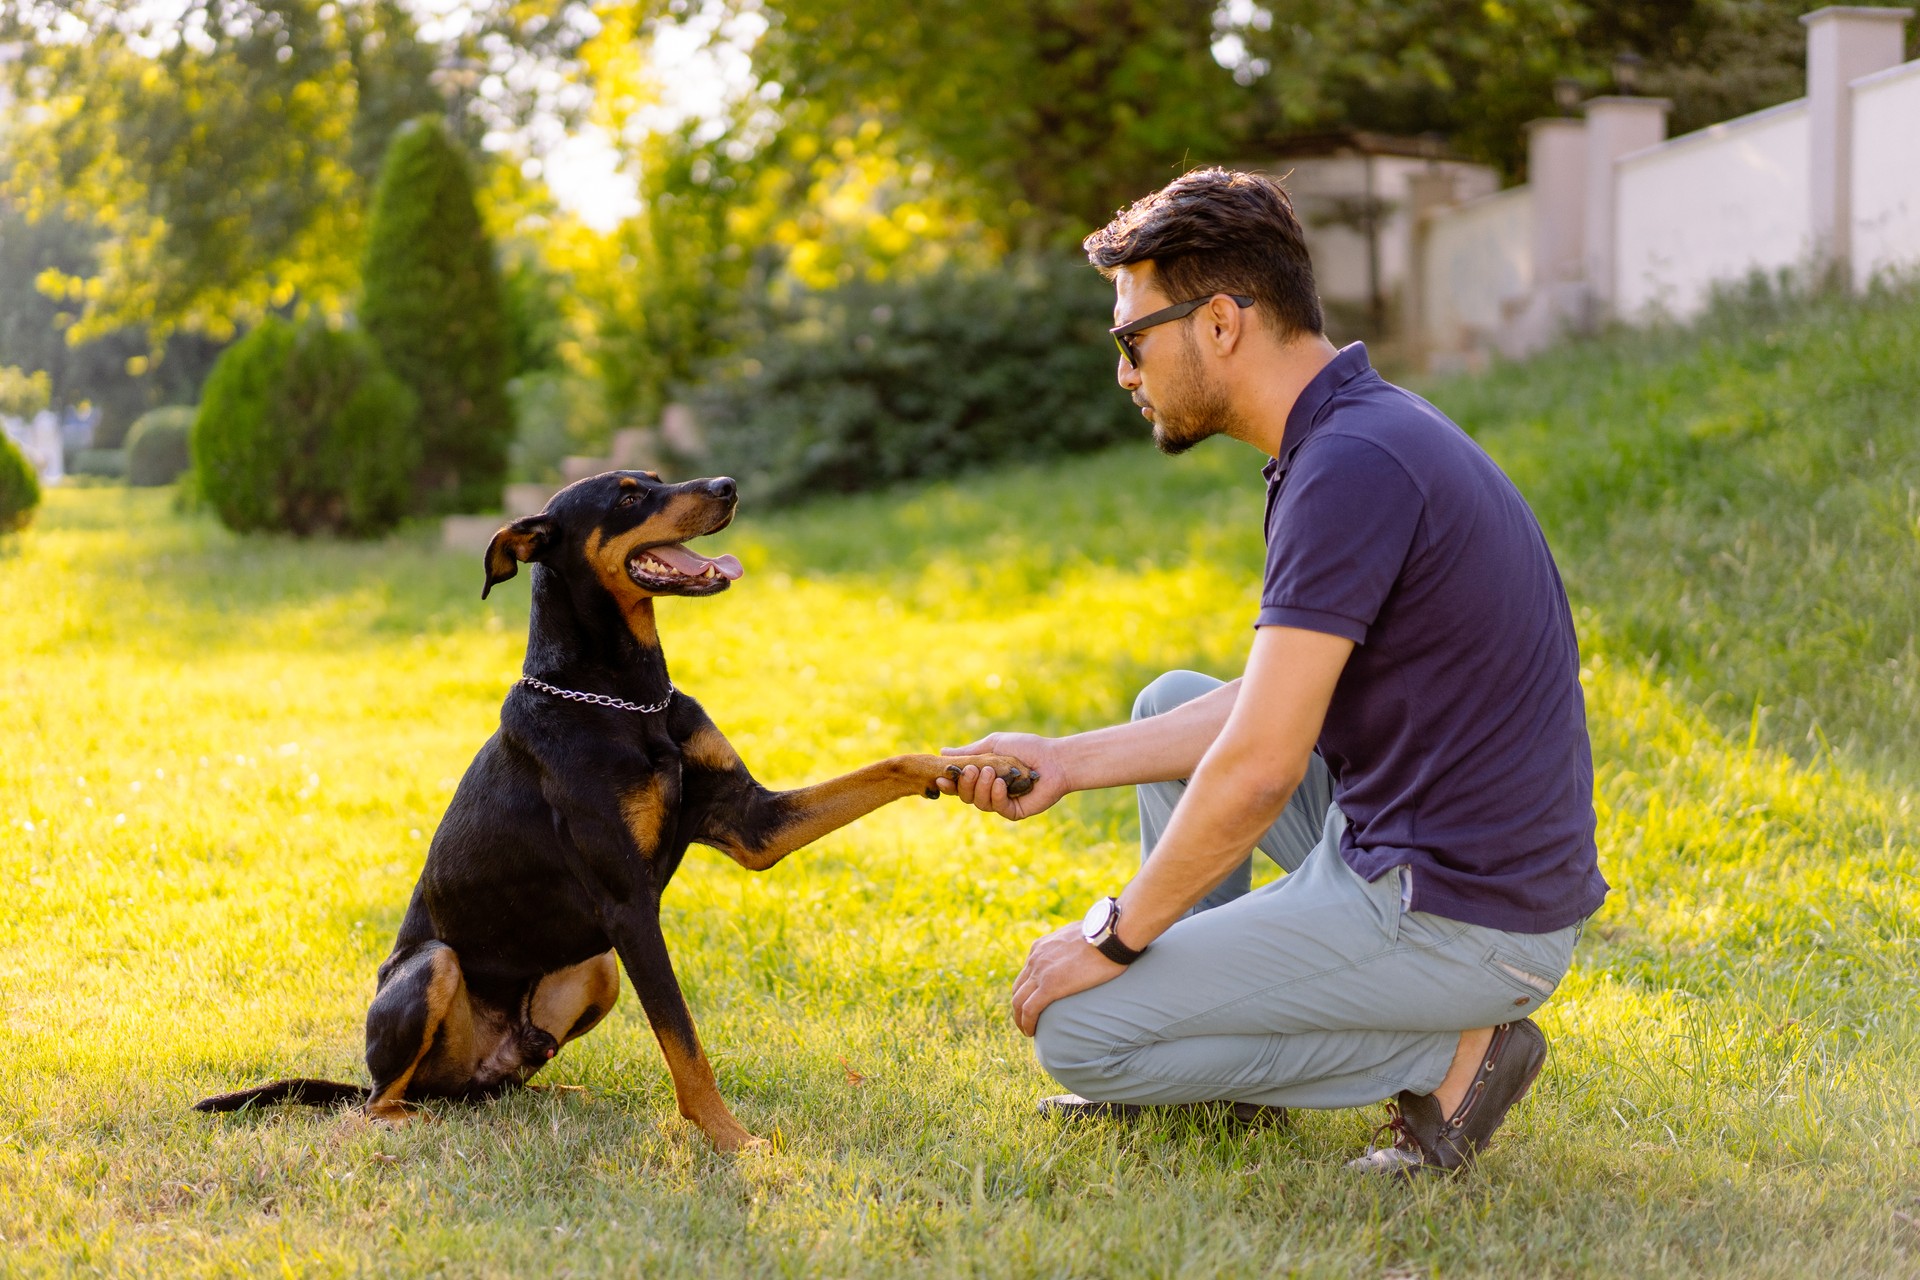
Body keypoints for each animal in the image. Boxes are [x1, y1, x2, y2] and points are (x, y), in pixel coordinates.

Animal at [196, 470, 1036, 1151]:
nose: (729, 485)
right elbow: (685, 1043)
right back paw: (404, 1119)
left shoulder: (752, 825)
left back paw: (557, 1093)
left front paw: (992, 767)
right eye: (629, 495)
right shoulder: (629, 907)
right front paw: (732, 1142)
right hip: (435, 969)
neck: (626, 696)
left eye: (661, 478)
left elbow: (890, 764)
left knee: (491, 1087)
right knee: (380, 1099)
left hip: (591, 971)